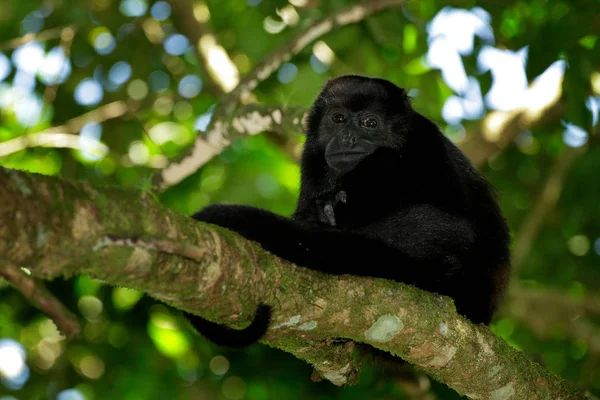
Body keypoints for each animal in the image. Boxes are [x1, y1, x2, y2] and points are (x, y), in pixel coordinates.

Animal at [185, 75, 508, 346]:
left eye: (370, 123)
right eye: (338, 119)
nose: (348, 138)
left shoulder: (425, 141)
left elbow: (452, 226)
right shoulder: (311, 156)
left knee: (385, 161)